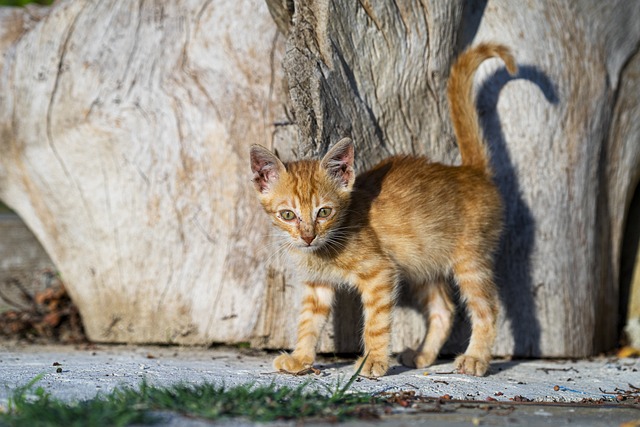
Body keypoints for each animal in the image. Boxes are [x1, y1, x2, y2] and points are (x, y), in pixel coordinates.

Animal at [249, 43, 516, 378]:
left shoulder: (380, 273)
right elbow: (309, 321)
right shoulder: (317, 285)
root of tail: (470, 171)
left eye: (324, 212)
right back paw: (423, 355)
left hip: (470, 260)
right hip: (422, 258)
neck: (325, 248)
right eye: (287, 215)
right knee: (444, 309)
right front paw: (300, 359)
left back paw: (475, 358)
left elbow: (376, 322)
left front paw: (373, 360)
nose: (308, 236)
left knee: (487, 308)